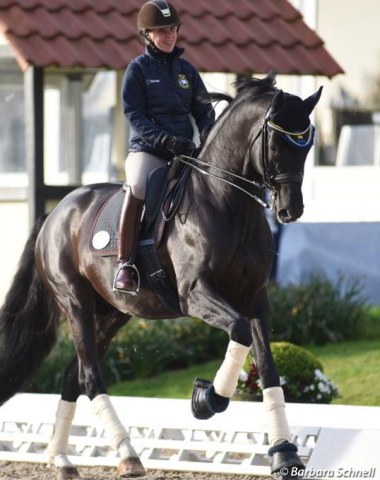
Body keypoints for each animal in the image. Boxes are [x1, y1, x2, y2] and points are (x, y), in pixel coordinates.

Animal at [0, 72, 320, 480]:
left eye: (306, 145)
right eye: (279, 143)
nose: (290, 210)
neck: (227, 204)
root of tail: (56, 212)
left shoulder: (255, 299)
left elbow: (267, 366)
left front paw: (285, 453)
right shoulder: (195, 294)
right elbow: (239, 332)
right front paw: (206, 398)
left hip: (111, 314)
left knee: (74, 375)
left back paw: (62, 459)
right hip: (75, 303)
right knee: (89, 376)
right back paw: (127, 455)